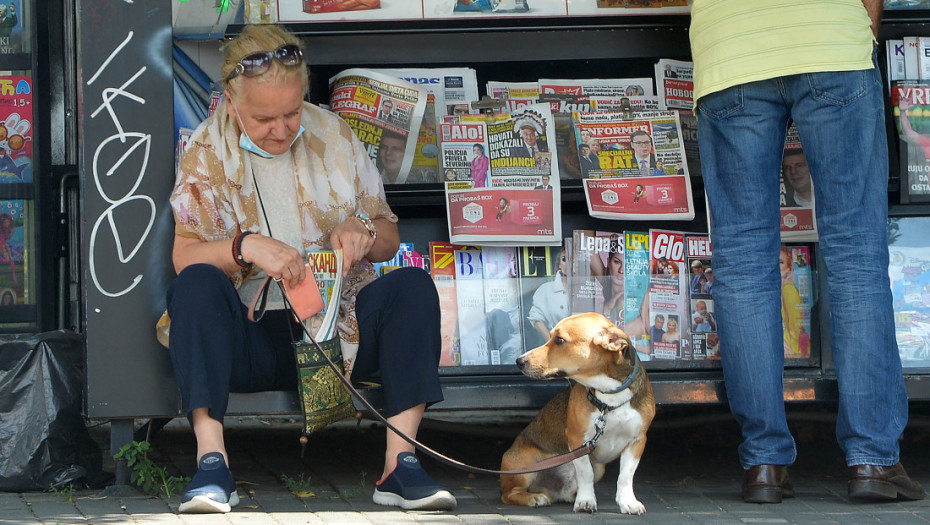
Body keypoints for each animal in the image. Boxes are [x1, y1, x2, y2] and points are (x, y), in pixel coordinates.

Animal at [500, 312, 652, 512]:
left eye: (559, 340)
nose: (519, 361)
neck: (609, 397)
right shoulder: (578, 440)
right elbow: (585, 473)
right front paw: (586, 501)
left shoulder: (637, 441)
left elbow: (625, 476)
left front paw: (627, 502)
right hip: (525, 465)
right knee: (508, 494)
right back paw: (534, 497)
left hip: (599, 467)